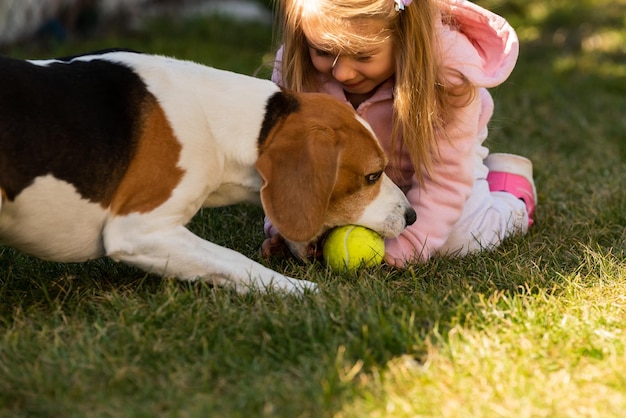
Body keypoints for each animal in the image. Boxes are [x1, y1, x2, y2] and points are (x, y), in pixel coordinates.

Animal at [0, 49, 414, 294]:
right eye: (372, 176)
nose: (411, 216)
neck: (220, 120)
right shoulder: (138, 231)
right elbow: (234, 260)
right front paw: (297, 290)